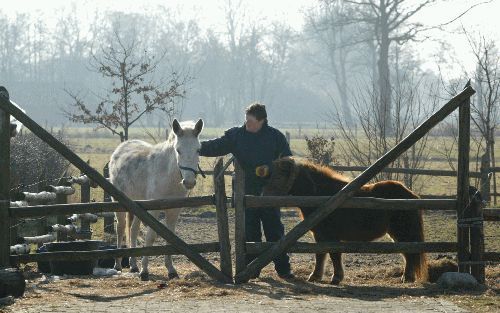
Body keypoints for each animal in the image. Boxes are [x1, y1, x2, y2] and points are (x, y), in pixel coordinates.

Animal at [109, 118, 203, 280]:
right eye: (178, 150)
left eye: (198, 150)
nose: (189, 182)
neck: (167, 174)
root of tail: (119, 150)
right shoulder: (153, 211)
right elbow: (150, 237)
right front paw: (144, 271)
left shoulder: (174, 211)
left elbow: (170, 238)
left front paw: (171, 270)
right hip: (118, 205)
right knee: (120, 229)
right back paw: (118, 265)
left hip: (138, 207)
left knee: (133, 230)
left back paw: (133, 265)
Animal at [260, 157, 428, 284]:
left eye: (279, 176)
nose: (263, 196)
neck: (324, 196)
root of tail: (411, 195)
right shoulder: (320, 236)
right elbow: (320, 255)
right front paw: (315, 276)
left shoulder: (331, 236)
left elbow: (334, 255)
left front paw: (336, 278)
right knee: (408, 253)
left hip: (402, 233)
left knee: (410, 253)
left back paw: (407, 278)